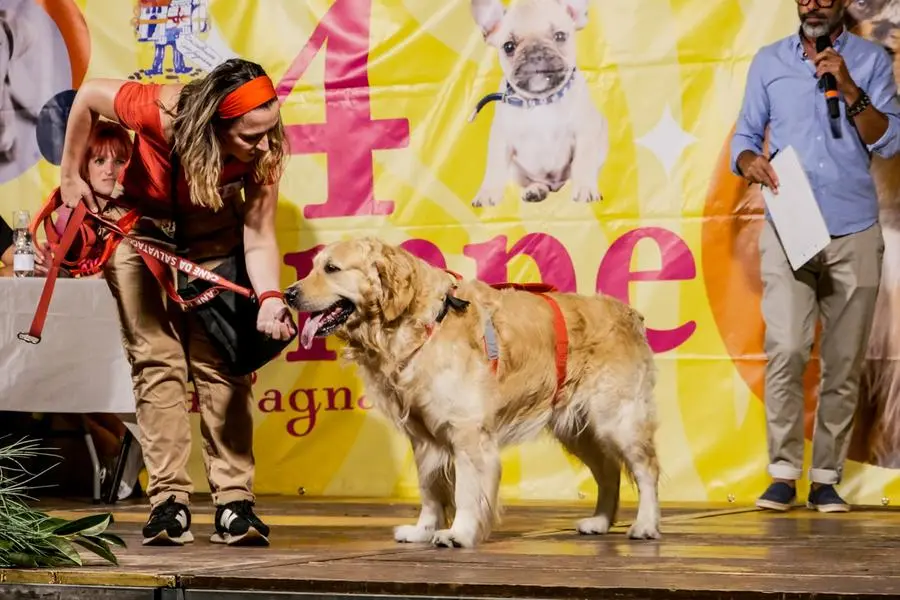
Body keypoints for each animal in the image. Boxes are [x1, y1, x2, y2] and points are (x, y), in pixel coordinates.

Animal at [284, 237, 664, 548]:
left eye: (331, 268)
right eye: (313, 267)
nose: (288, 294)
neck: (417, 324)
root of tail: (628, 312)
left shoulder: (467, 431)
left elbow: (466, 490)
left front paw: (459, 533)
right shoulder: (423, 438)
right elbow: (430, 490)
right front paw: (422, 530)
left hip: (617, 418)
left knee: (646, 469)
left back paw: (645, 525)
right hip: (578, 428)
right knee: (608, 471)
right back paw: (599, 522)